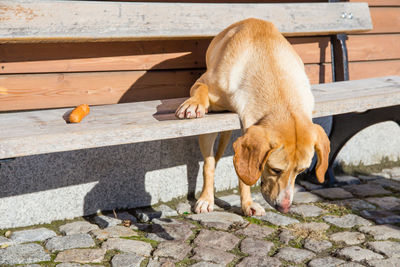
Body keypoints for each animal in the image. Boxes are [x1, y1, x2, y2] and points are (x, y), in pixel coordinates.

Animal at [175, 18, 328, 216]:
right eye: (275, 170)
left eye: (301, 171)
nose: (285, 208)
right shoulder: (203, 85)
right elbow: (201, 88)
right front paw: (194, 103)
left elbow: (243, 175)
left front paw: (247, 204)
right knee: (211, 163)